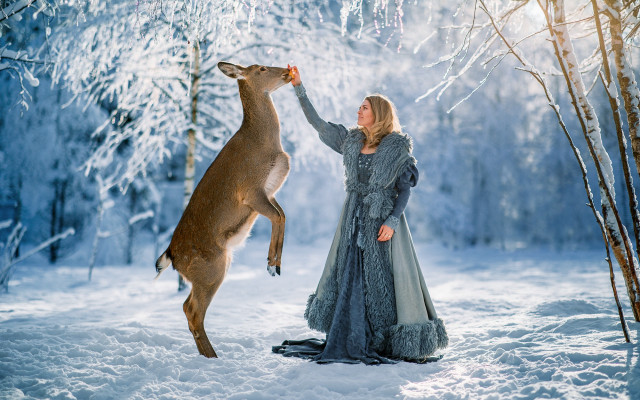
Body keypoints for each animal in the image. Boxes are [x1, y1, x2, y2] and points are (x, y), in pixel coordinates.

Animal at [154, 62, 293, 358]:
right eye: (262, 68)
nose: (288, 72)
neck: (265, 143)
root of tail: (172, 256)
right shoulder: (250, 191)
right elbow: (277, 217)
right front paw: (272, 264)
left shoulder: (269, 192)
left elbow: (283, 215)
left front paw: (275, 263)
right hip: (211, 269)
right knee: (193, 311)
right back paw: (213, 357)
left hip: (214, 268)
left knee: (186, 306)